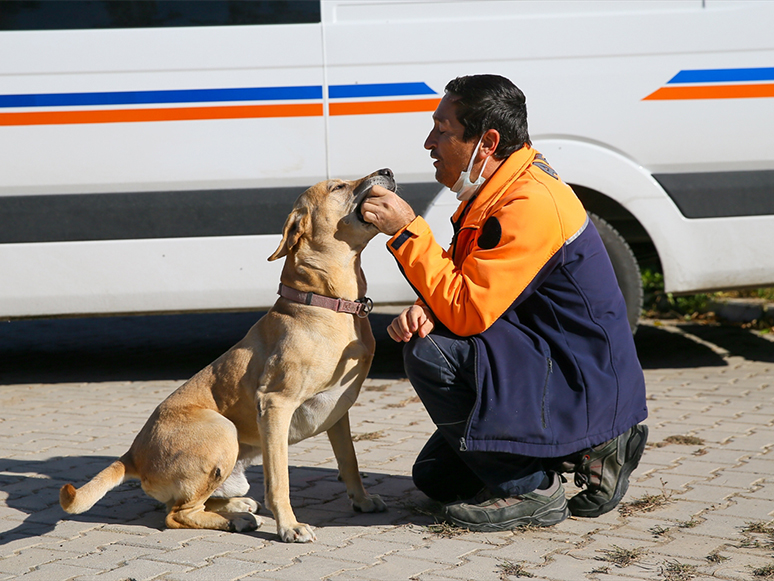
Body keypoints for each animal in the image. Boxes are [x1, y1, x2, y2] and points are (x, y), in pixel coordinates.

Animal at [61, 170, 398, 540]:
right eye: (337, 186)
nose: (388, 171)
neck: (326, 302)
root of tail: (132, 455)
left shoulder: (337, 411)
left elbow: (349, 461)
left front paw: (361, 500)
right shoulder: (275, 406)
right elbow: (279, 481)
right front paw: (289, 526)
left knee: (186, 505)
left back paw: (239, 506)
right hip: (222, 429)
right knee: (176, 514)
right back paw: (236, 519)